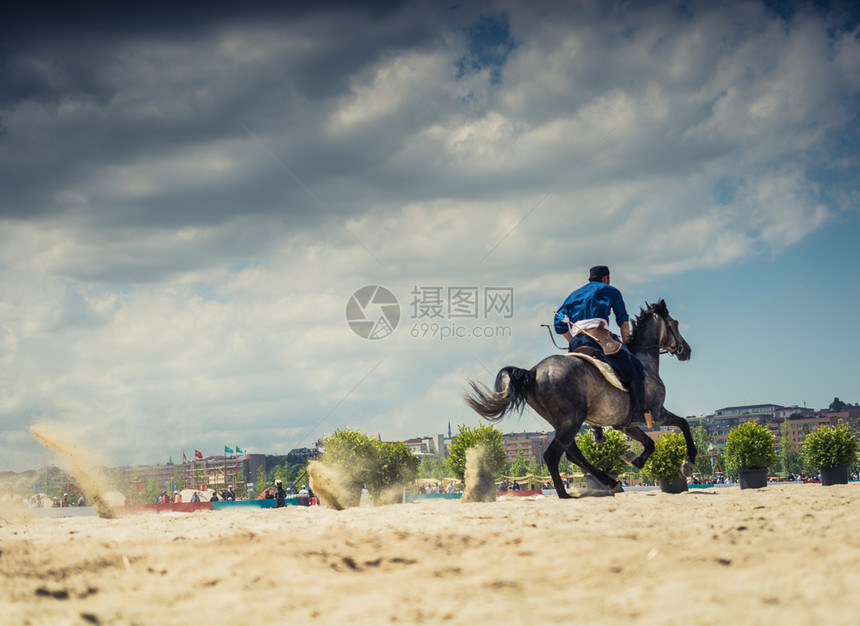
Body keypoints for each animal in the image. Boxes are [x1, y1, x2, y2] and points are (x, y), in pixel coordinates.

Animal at [466, 298, 696, 498]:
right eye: (675, 323)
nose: (687, 350)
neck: (644, 361)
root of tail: (534, 371)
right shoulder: (657, 413)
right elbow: (683, 424)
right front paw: (688, 463)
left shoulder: (626, 424)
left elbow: (650, 443)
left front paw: (634, 459)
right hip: (573, 419)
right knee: (553, 455)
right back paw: (565, 494)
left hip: (563, 422)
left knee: (571, 453)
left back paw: (610, 483)